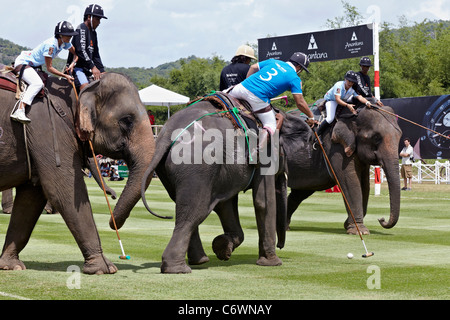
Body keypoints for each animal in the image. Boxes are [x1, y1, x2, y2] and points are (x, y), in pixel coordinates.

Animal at [0, 73, 155, 276]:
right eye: (126, 120)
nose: (113, 196)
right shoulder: (47, 131)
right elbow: (62, 190)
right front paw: (105, 269)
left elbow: (31, 198)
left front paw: (11, 266)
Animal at [111, 96, 284, 274]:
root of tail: (166, 133)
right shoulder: (265, 154)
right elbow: (262, 202)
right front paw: (272, 263)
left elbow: (226, 205)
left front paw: (223, 248)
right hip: (198, 167)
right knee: (194, 212)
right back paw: (179, 268)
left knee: (185, 208)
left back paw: (199, 261)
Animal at [280, 104, 402, 239]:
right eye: (376, 137)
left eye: (400, 136)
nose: (381, 219)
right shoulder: (335, 147)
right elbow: (350, 181)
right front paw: (359, 231)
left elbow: (364, 184)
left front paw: (349, 225)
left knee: (299, 193)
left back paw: (285, 228)